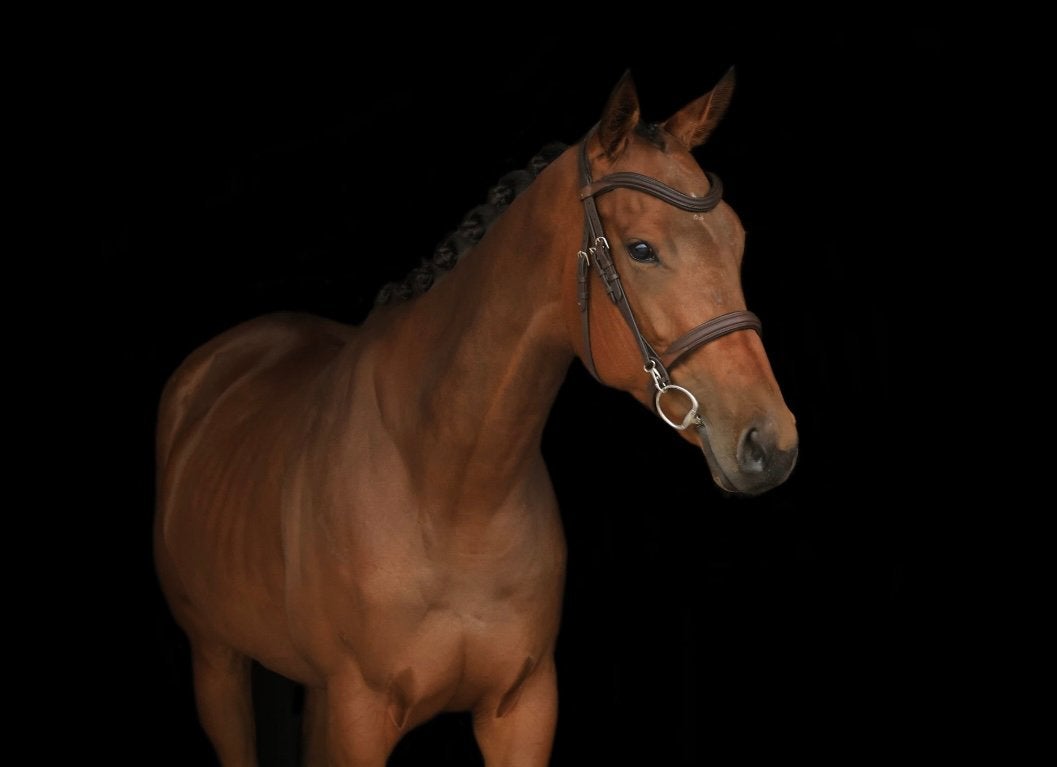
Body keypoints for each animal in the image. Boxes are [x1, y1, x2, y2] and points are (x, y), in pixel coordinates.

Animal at [153, 68, 799, 766]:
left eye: (737, 240)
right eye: (642, 249)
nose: (771, 444)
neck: (450, 491)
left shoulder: (522, 709)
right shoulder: (358, 714)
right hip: (217, 664)